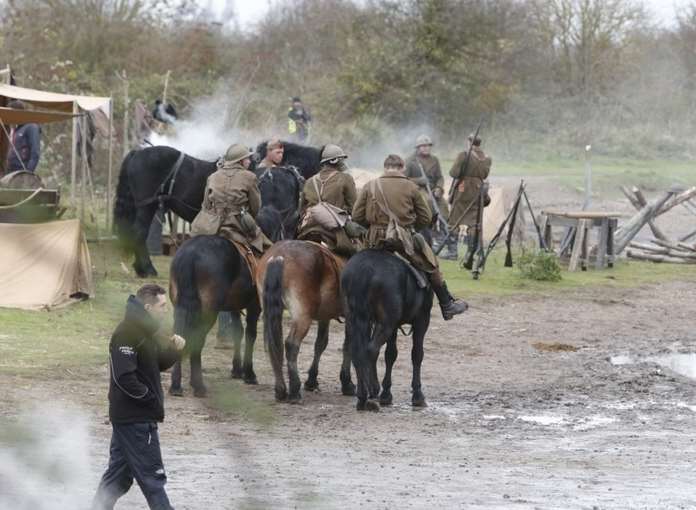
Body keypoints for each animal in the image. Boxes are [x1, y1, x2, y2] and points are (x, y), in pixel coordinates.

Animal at [168, 235, 258, 398]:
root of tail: (190, 253)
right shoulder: (255, 304)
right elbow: (250, 334)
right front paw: (249, 374)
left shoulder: (234, 307)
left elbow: (238, 332)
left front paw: (237, 370)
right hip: (208, 312)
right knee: (197, 340)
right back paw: (199, 386)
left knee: (178, 336)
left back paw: (177, 385)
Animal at [256, 240, 356, 402]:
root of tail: (278, 257)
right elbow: (348, 345)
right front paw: (347, 383)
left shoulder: (324, 317)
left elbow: (320, 344)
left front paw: (311, 381)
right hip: (302, 317)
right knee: (291, 344)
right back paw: (294, 390)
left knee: (275, 345)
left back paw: (280, 390)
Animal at [340, 249, 432, 412]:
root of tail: (364, 269)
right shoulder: (422, 320)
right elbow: (417, 354)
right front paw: (417, 395)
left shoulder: (394, 326)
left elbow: (390, 355)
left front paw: (386, 394)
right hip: (385, 324)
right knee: (371, 350)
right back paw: (371, 392)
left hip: (355, 320)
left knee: (356, 351)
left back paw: (363, 396)